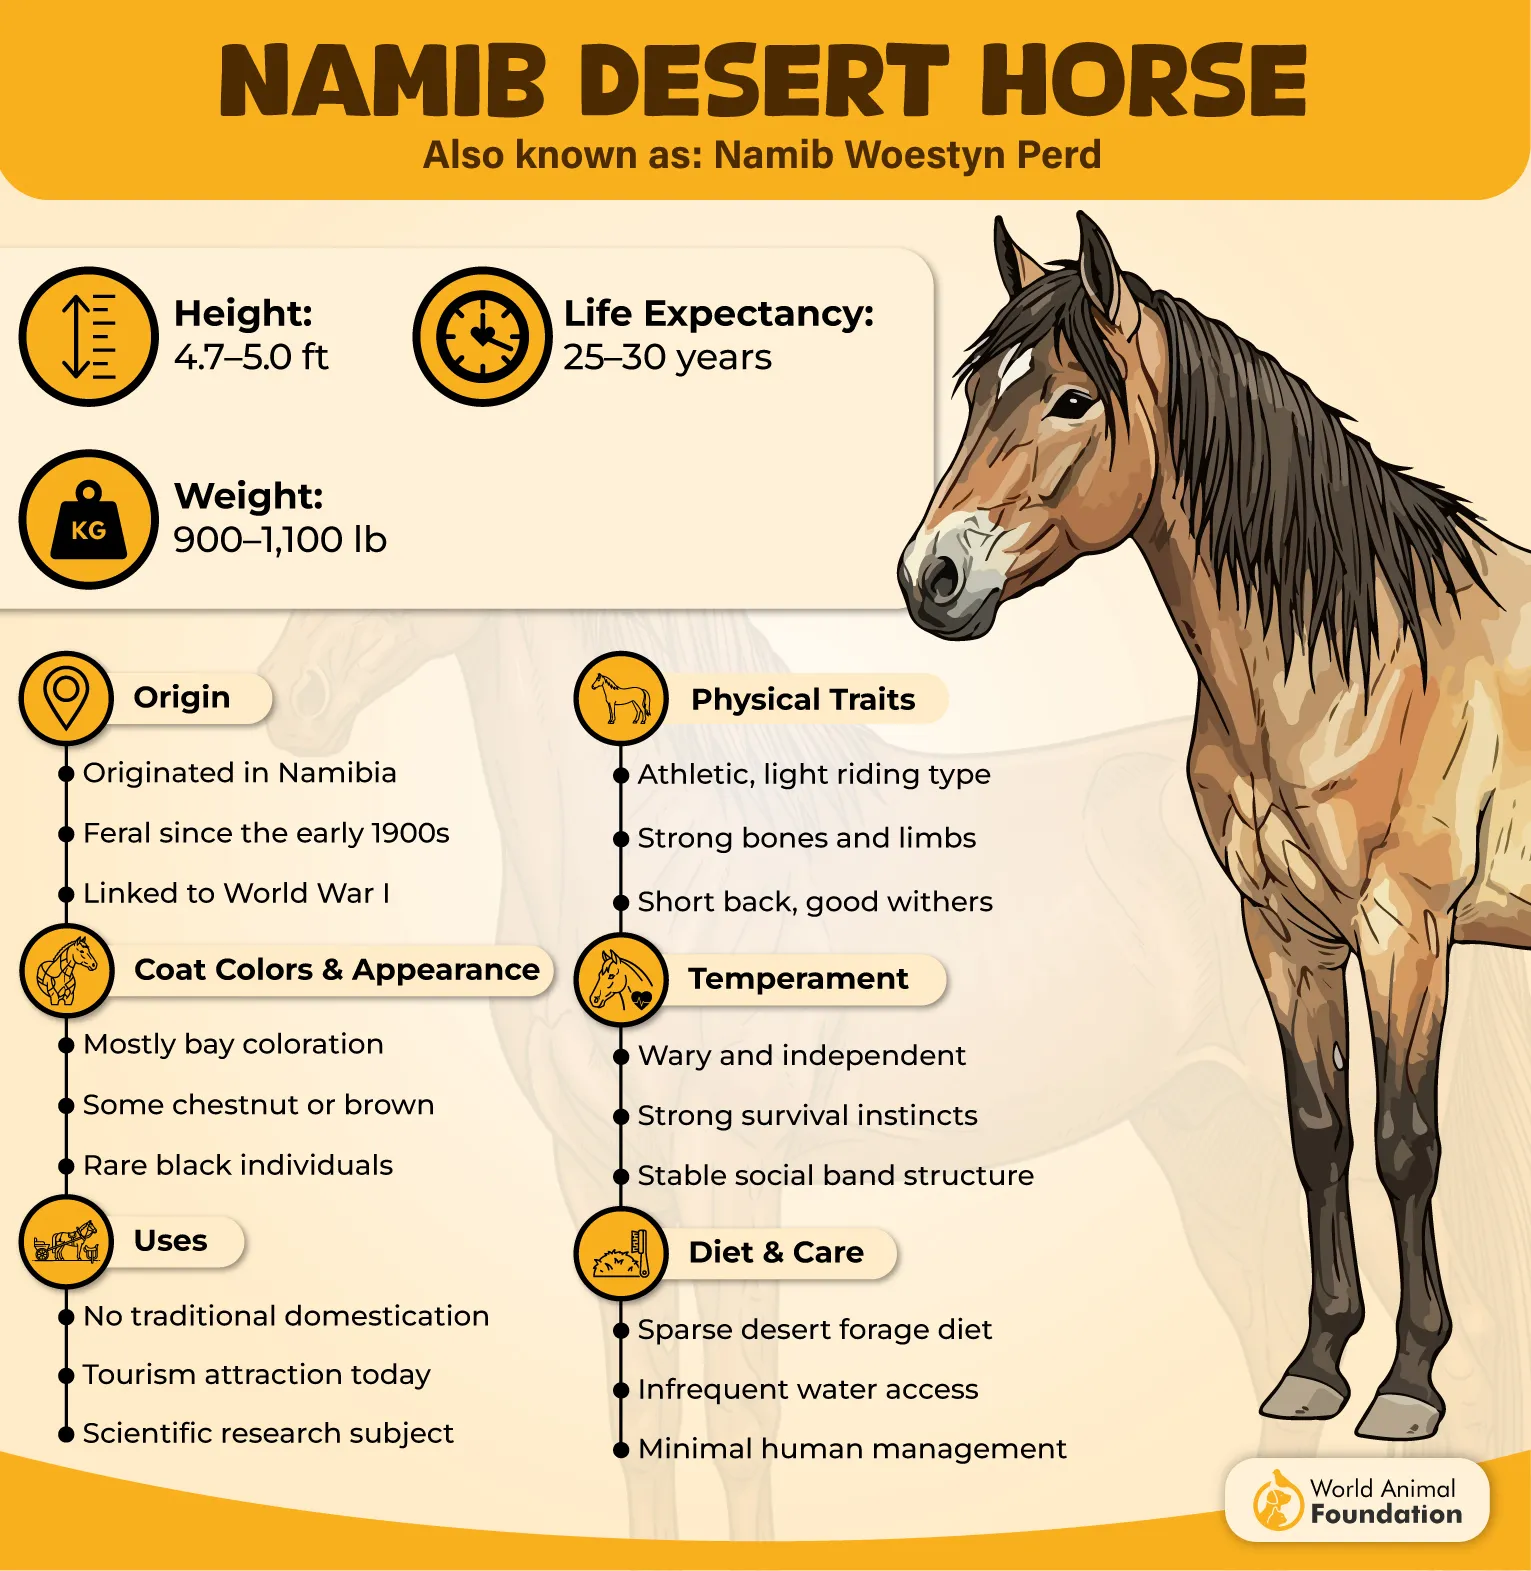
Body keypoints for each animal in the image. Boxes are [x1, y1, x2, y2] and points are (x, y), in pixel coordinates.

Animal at [898, 210, 1531, 1443]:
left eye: (1070, 398)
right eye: (976, 392)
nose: (930, 576)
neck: (1354, 658)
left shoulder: (1406, 933)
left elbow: (1405, 1146)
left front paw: (1406, 1384)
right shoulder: (1281, 933)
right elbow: (1317, 1134)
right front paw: (1317, 1363)